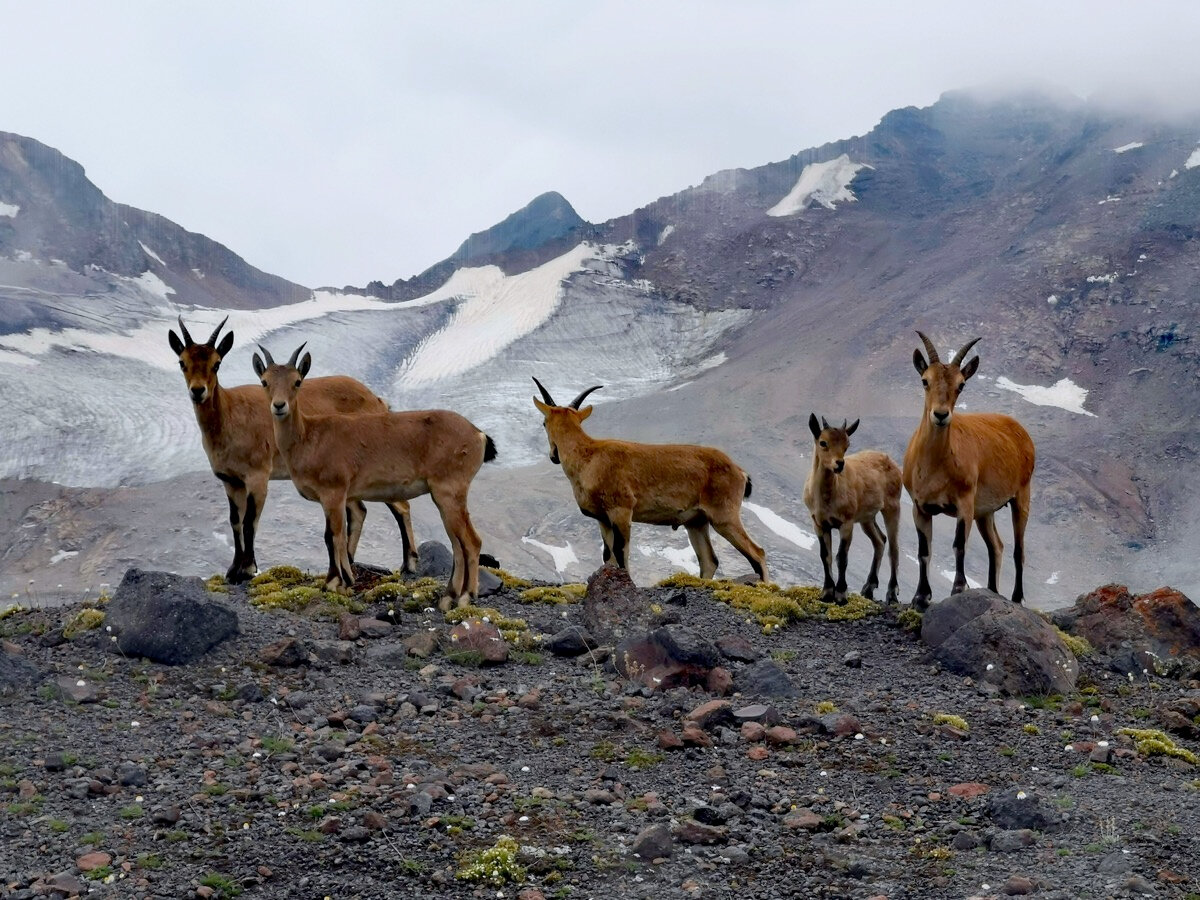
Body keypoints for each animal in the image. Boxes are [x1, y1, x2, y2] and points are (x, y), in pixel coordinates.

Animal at [166, 316, 415, 585]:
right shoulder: (231, 481)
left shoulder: (257, 476)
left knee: (401, 506)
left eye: (216, 364)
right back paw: (349, 563)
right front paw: (232, 571)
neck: (229, 415)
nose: (198, 390)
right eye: (182, 362)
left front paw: (248, 569)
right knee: (358, 511)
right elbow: (234, 521)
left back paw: (408, 564)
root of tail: (378, 401)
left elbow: (249, 522)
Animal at [255, 343, 494, 607]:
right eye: (265, 381)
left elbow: (332, 535)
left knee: (471, 541)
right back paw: (449, 597)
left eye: (297, 381)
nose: (279, 406)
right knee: (458, 542)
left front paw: (333, 582)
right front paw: (344, 581)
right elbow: (339, 535)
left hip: (449, 491)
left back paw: (464, 597)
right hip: (445, 497)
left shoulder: (334, 493)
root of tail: (478, 435)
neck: (308, 437)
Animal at [535, 379, 768, 585]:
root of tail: (739, 471)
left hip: (724, 516)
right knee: (709, 560)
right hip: (696, 522)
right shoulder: (603, 519)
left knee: (757, 553)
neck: (589, 457)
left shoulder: (621, 511)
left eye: (544, 422)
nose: (553, 456)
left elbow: (621, 552)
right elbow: (608, 555)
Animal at [801, 415, 897, 607]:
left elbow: (842, 557)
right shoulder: (819, 523)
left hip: (892, 506)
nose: (839, 464)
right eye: (823, 442)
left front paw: (841, 594)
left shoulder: (846, 522)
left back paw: (892, 594)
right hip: (867, 518)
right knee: (880, 540)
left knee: (894, 548)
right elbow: (825, 555)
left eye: (847, 445)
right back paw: (869, 587)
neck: (826, 499)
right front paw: (826, 592)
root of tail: (891, 462)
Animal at [902, 333, 1036, 614]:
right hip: (985, 511)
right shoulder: (920, 507)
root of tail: (1019, 429)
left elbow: (959, 544)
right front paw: (920, 597)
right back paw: (992, 590)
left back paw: (1017, 597)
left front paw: (958, 588)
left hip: (1021, 496)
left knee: (1018, 549)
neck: (934, 468)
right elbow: (924, 550)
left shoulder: (964, 502)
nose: (941, 415)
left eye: (961, 385)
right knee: (996, 546)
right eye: (925, 380)